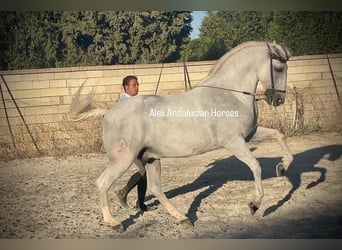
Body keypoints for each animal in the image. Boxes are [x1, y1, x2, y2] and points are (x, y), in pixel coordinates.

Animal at [68, 40, 292, 230]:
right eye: (279, 68)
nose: (279, 100)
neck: (230, 93)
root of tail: (108, 113)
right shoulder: (234, 142)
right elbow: (255, 165)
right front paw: (255, 204)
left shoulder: (249, 135)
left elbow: (279, 135)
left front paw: (282, 167)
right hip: (123, 160)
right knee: (103, 183)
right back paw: (114, 223)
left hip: (151, 158)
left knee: (155, 188)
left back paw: (182, 218)